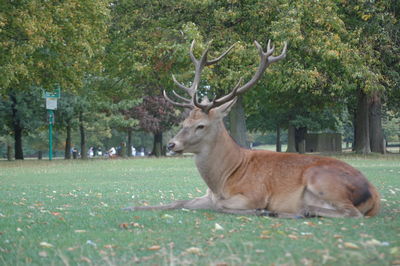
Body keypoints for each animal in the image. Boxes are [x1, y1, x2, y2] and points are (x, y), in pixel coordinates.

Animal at [125, 39, 382, 218]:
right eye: (183, 122)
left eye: (200, 125)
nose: (171, 144)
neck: (223, 179)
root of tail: (374, 194)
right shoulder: (206, 196)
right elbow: (179, 202)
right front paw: (133, 206)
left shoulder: (254, 194)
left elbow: (221, 206)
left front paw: (263, 210)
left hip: (322, 179)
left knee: (352, 212)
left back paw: (298, 210)